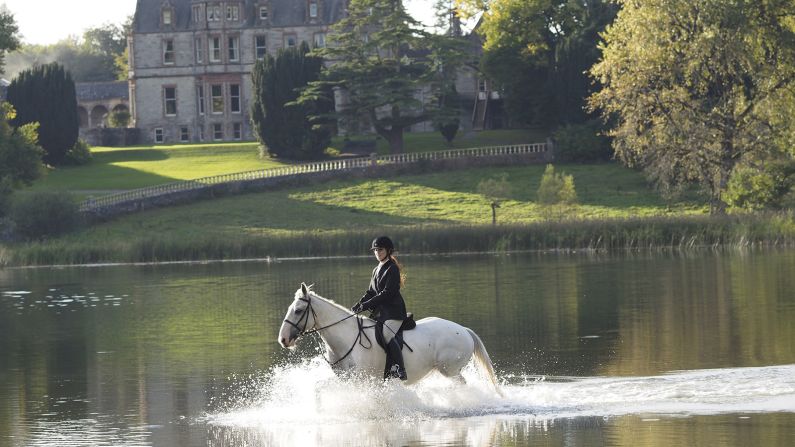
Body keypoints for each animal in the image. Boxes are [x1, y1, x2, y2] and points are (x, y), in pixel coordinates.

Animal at [280, 286, 500, 394]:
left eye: (298, 310)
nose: (283, 339)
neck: (346, 339)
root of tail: (464, 330)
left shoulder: (362, 379)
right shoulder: (346, 379)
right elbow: (319, 388)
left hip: (450, 370)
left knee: (462, 384)